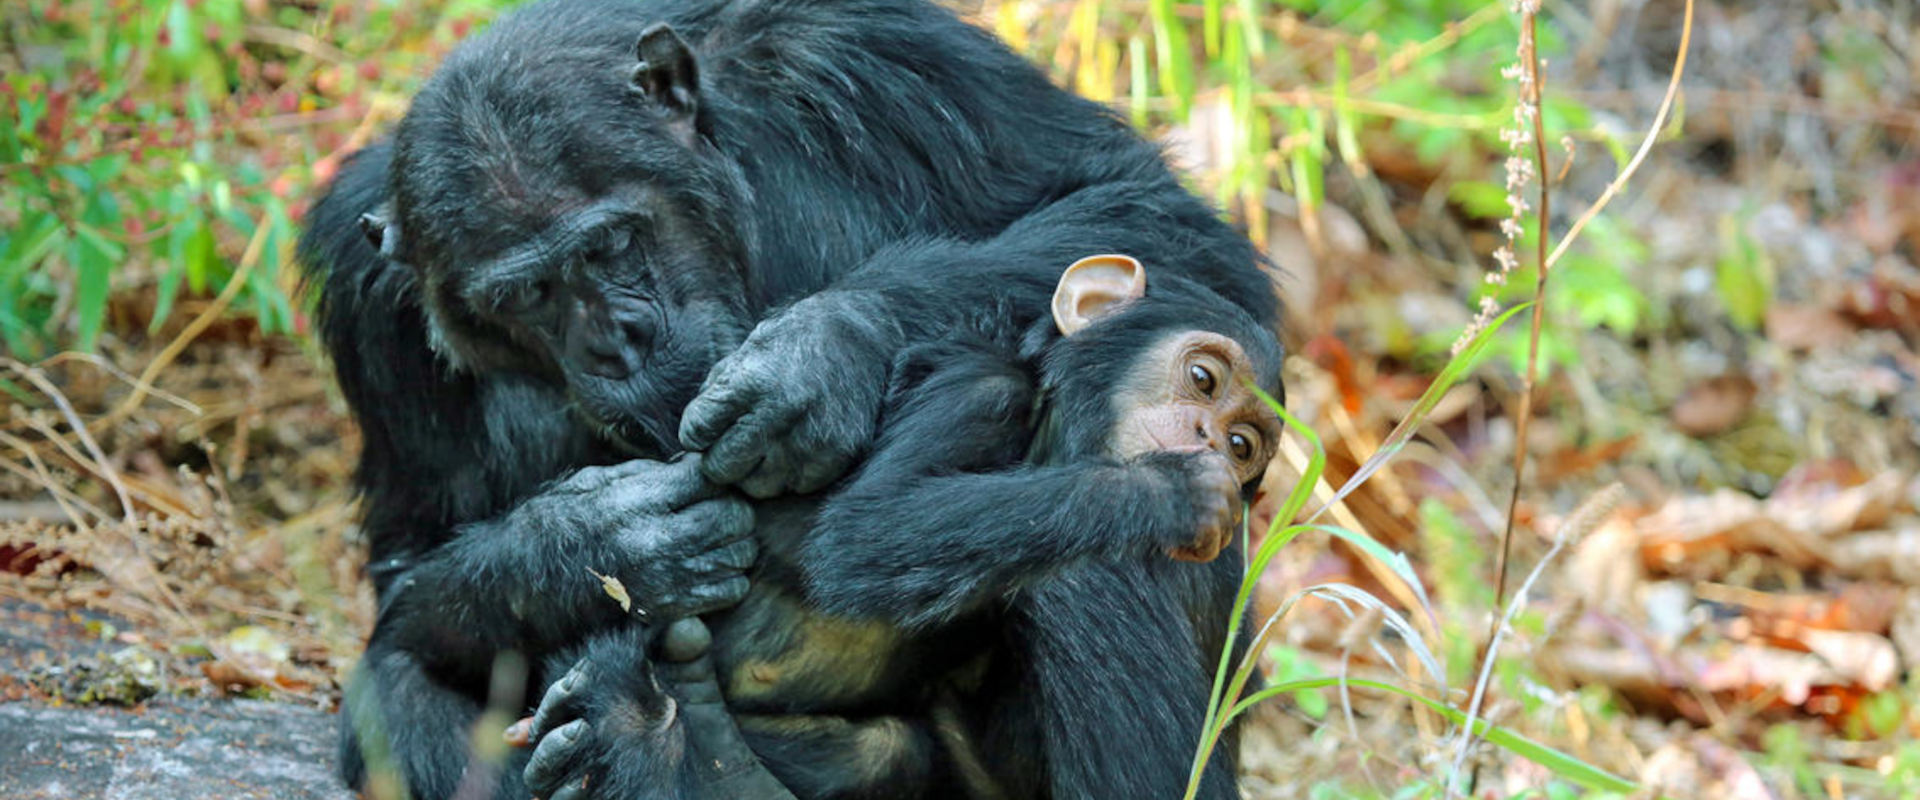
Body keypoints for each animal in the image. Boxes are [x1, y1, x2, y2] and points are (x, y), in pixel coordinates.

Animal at [518, 255, 1282, 798]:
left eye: (1242, 445)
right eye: (1204, 379)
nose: (1211, 445)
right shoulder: (979, 395)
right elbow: (864, 531)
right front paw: (1174, 491)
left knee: (890, 750)